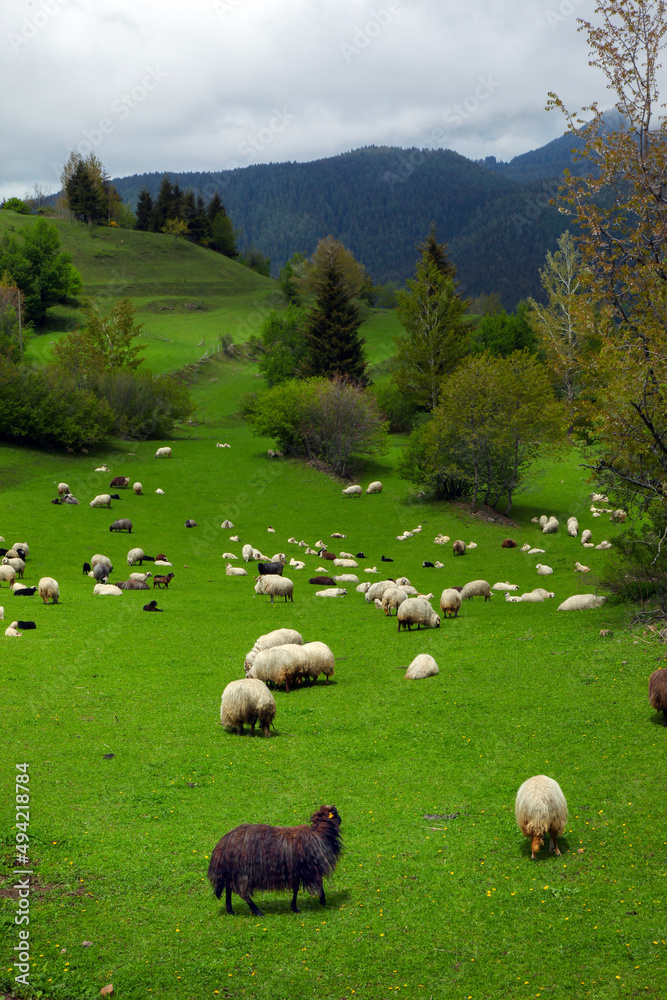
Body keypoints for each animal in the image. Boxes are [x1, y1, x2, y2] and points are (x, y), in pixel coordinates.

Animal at [209, 804, 344, 916]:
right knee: (242, 892)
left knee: (228, 888)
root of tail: (221, 846)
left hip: (232, 871)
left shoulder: (296, 870)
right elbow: (319, 884)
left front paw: (294, 907)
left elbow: (296, 889)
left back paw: (230, 910)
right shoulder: (310, 868)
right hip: (243, 871)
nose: (341, 820)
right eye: (335, 812)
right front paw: (322, 900)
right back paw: (257, 911)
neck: (318, 834)